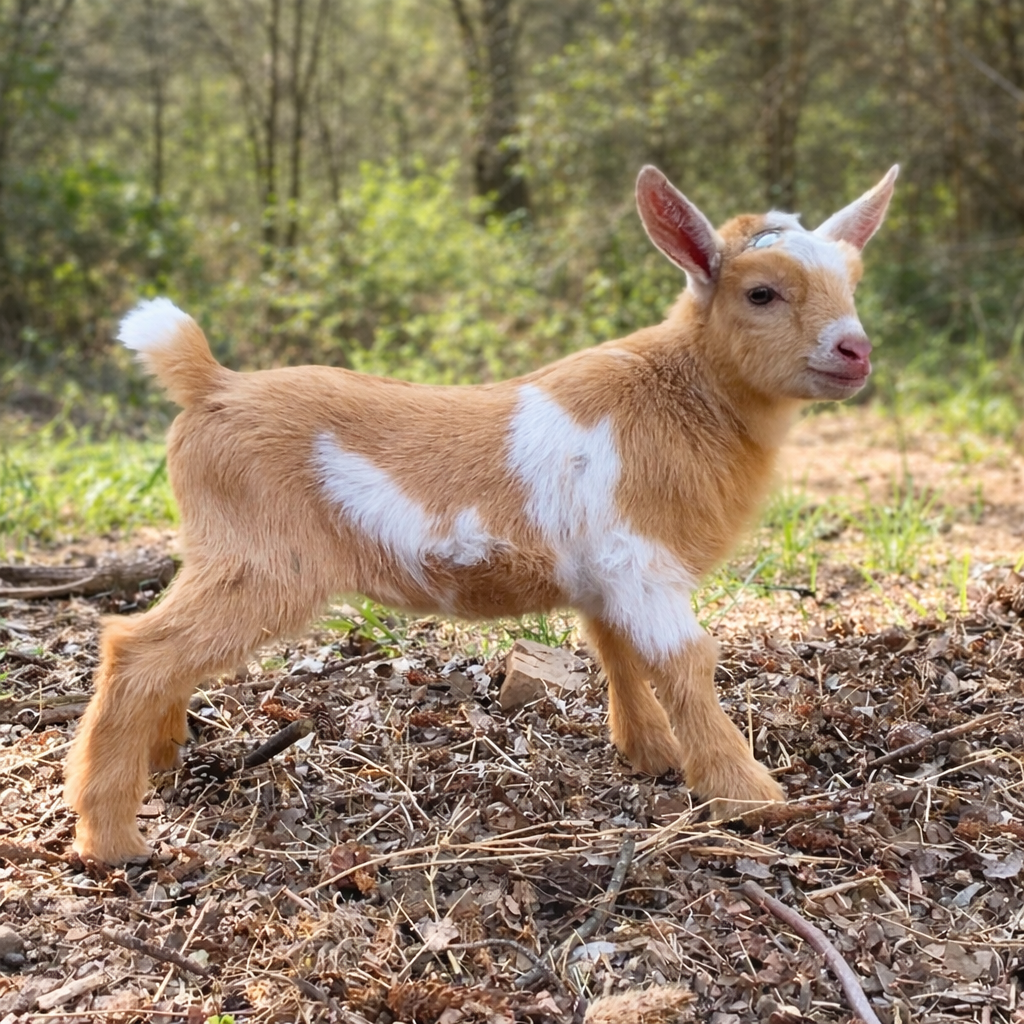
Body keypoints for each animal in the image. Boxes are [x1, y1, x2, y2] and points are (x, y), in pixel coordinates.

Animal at [65, 164, 898, 864]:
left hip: (217, 551)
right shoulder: (642, 564)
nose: (856, 351)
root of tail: (209, 382)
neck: (680, 392)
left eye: (855, 283)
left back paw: (163, 760)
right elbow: (688, 664)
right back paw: (111, 839)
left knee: (163, 651)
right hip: (264, 562)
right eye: (761, 293)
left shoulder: (606, 574)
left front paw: (652, 755)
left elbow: (617, 654)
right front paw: (753, 798)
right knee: (136, 648)